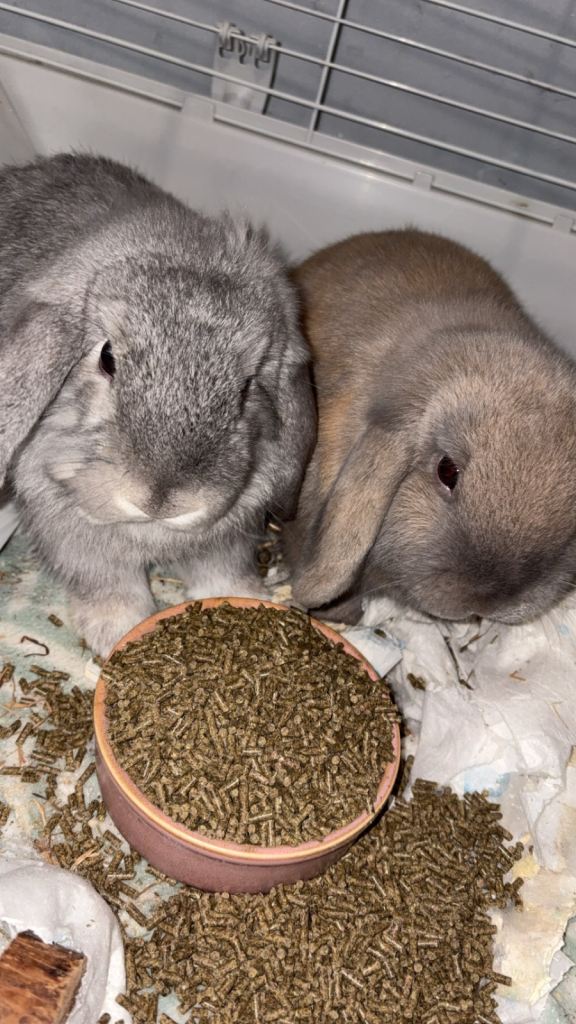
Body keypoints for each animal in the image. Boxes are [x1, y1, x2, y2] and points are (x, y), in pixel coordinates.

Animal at [0, 153, 315, 657]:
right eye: (107, 358)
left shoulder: (229, 537)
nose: (161, 498)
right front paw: (120, 633)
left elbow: (221, 575)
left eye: (247, 386)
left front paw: (249, 599)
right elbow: (111, 588)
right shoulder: (77, 541)